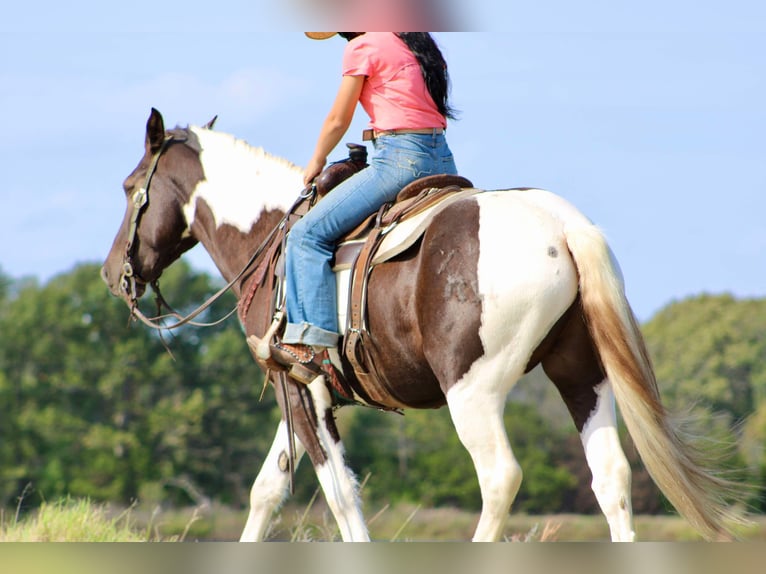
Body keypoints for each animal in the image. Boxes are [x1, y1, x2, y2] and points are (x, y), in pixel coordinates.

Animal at [101, 108, 743, 541]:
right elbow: (268, 491)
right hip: (582, 375)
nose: (112, 274)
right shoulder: (300, 392)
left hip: (474, 392)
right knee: (610, 476)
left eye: (132, 188)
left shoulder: (305, 389)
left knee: (500, 479)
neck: (272, 235)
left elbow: (341, 496)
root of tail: (561, 224)